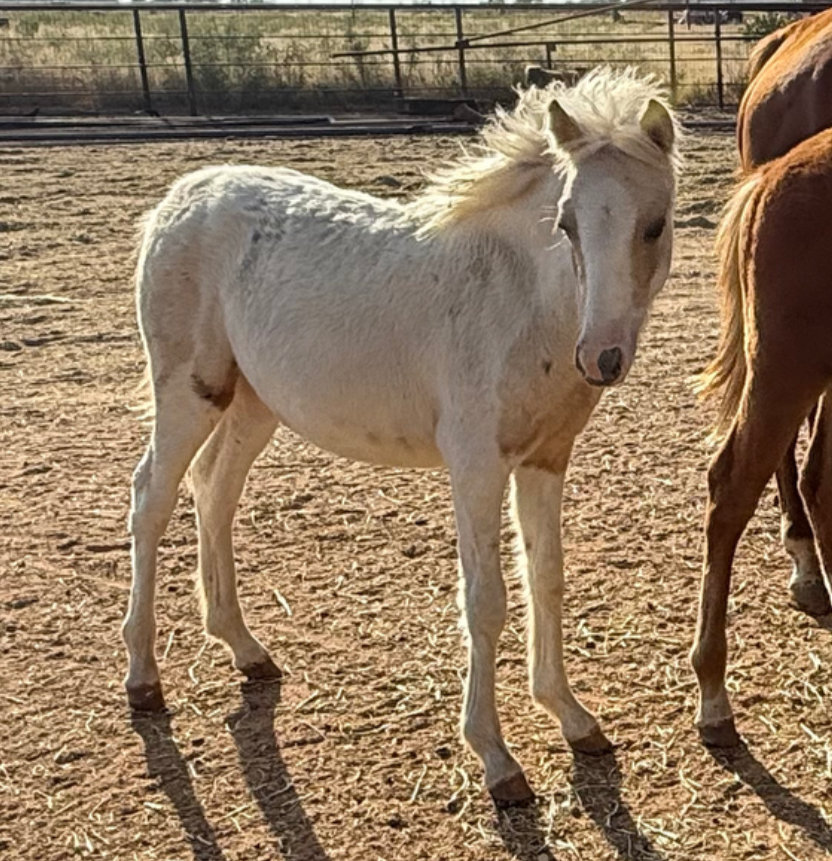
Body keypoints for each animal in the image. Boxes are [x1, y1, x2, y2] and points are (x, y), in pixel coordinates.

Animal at [122, 67, 678, 805]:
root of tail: (180, 196)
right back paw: (143, 678)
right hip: (189, 388)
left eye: (655, 224)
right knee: (151, 498)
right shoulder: (476, 464)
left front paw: (571, 716)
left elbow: (547, 578)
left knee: (214, 490)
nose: (601, 357)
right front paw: (497, 758)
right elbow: (486, 600)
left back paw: (245, 648)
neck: (516, 301)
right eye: (565, 224)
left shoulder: (545, 459)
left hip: (254, 403)